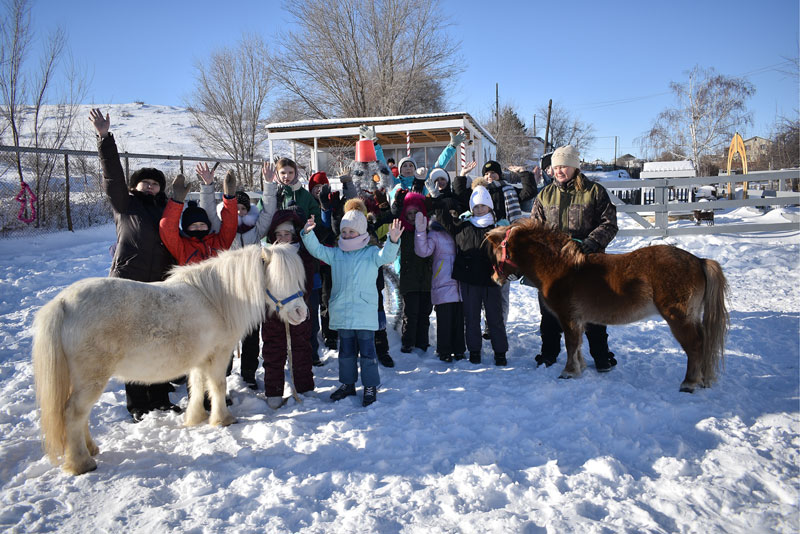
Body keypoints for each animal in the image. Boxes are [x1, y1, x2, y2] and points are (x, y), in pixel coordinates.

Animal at [32, 245, 306, 476]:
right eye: (279, 279)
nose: (301, 313)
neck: (217, 299)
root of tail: (63, 302)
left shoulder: (200, 358)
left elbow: (198, 386)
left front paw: (195, 418)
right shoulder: (219, 354)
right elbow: (218, 386)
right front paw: (223, 419)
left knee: (81, 416)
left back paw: (90, 449)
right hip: (91, 378)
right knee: (74, 413)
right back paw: (82, 463)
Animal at [484, 221, 728, 394]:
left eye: (497, 252)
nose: (494, 278)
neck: (560, 267)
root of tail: (699, 261)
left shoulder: (568, 317)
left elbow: (571, 344)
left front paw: (568, 372)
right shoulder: (578, 320)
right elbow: (578, 345)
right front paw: (580, 368)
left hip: (679, 318)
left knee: (695, 346)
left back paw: (689, 383)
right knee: (704, 343)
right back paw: (702, 380)